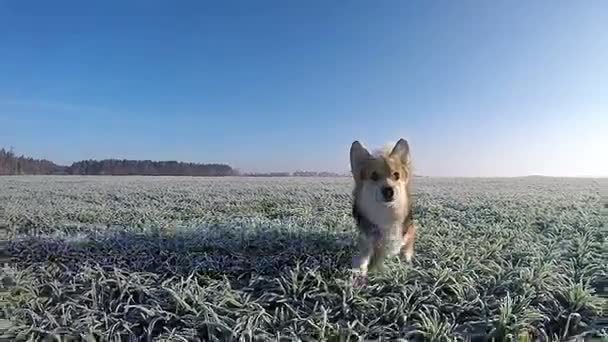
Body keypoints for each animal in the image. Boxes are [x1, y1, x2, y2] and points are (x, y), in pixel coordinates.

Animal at [350, 138, 416, 276]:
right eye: (374, 176)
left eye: (396, 175)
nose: (389, 191)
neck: (386, 213)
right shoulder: (367, 237)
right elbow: (366, 252)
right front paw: (361, 268)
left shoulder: (406, 231)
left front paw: (405, 258)